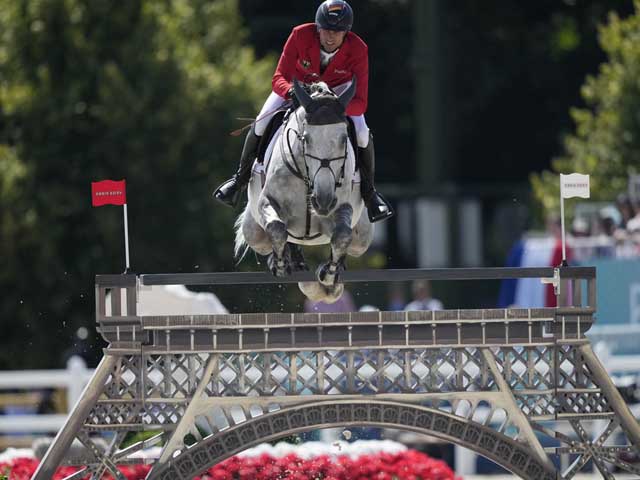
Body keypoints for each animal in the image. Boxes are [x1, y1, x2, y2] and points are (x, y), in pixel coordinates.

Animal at [235, 79, 376, 304]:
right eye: (305, 138)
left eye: (344, 139)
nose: (323, 201)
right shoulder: (267, 202)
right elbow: (276, 227)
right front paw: (280, 265)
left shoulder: (341, 208)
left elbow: (342, 235)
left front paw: (329, 275)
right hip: (254, 233)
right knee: (277, 238)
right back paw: (290, 262)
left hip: (362, 237)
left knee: (350, 243)